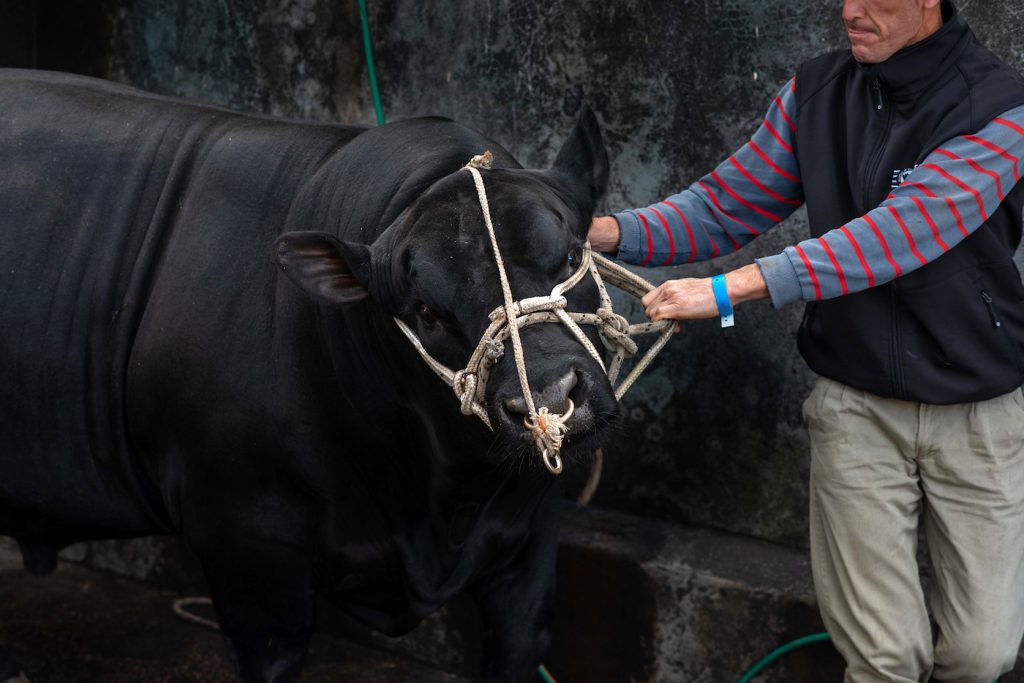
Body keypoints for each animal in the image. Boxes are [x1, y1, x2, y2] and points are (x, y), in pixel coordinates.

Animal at [0, 66, 614, 679]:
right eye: (424, 311)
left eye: (568, 257)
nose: (551, 397)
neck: (435, 502)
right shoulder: (246, 549)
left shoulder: (530, 539)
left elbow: (519, 639)